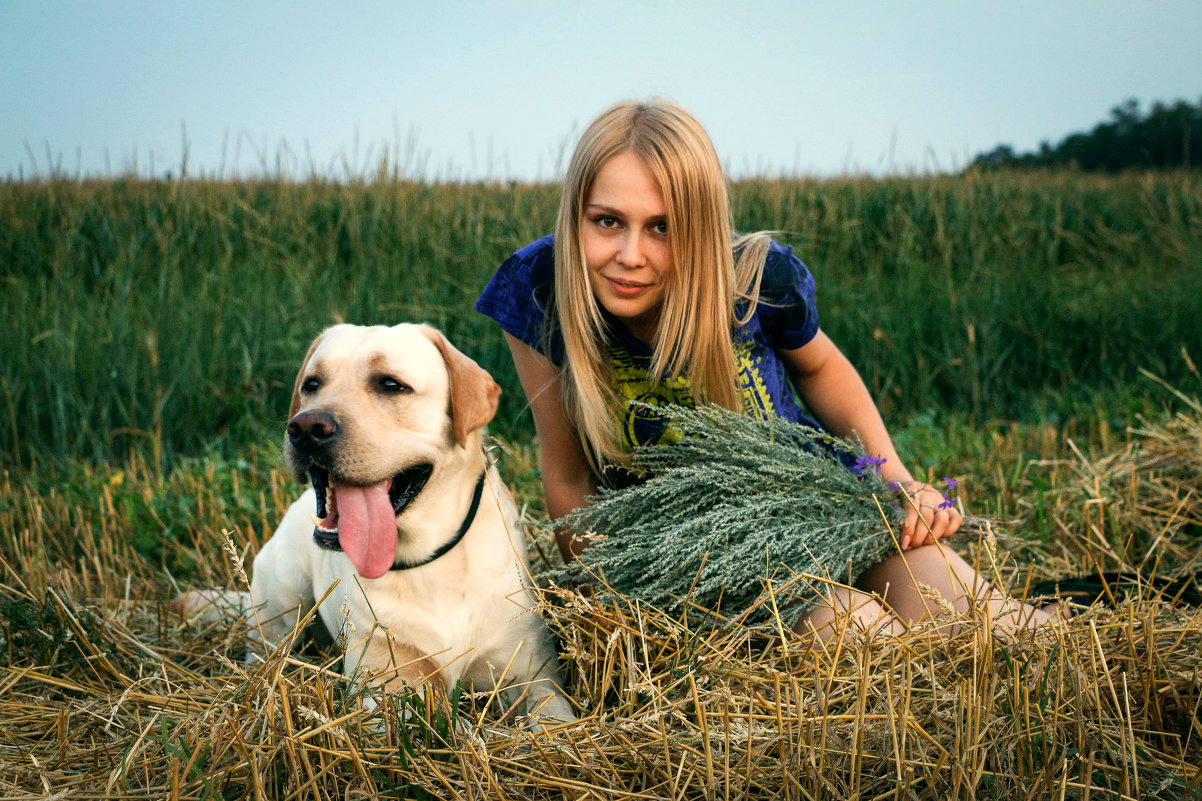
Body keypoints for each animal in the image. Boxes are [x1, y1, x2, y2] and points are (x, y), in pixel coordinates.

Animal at [176, 322, 572, 721]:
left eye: (391, 384)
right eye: (311, 384)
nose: (305, 427)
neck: (428, 559)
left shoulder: (533, 673)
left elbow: (554, 717)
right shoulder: (385, 681)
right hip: (282, 600)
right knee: (264, 648)